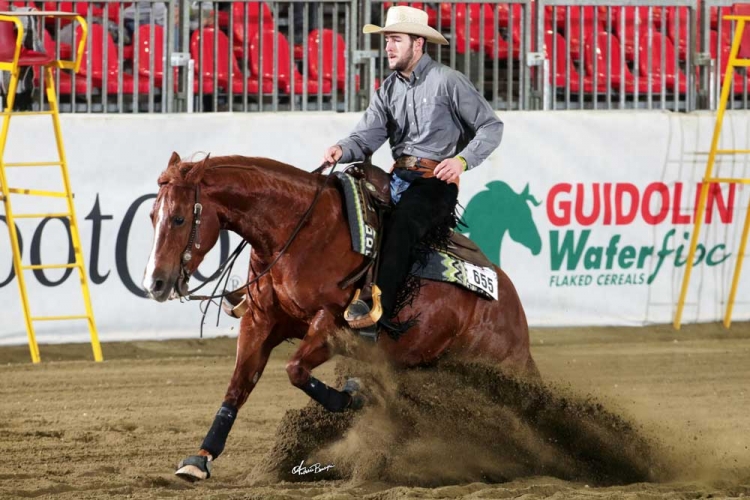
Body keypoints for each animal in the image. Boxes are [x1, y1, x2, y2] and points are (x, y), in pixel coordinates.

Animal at [144, 152, 536, 480]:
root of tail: (508, 300)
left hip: (499, 362)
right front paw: (200, 459)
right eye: (151, 216)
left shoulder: (331, 323)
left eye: (179, 218)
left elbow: (295, 370)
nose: (155, 282)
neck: (299, 232)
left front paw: (354, 395)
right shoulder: (260, 321)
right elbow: (238, 385)